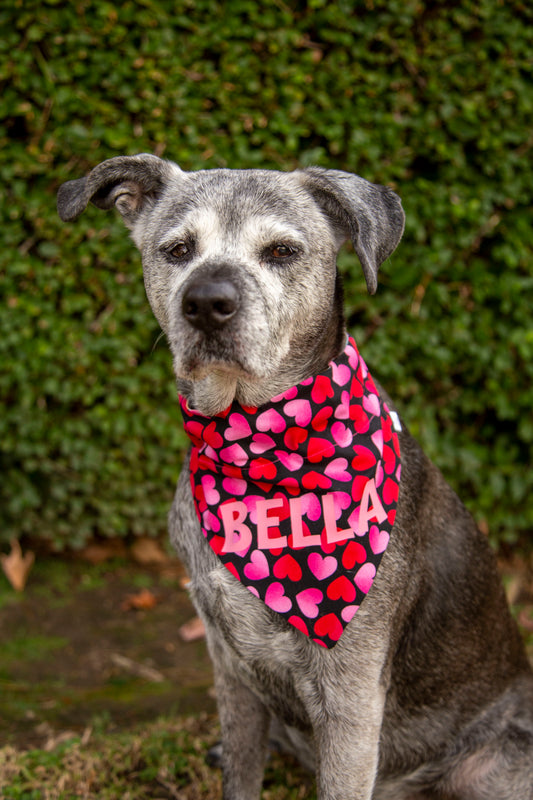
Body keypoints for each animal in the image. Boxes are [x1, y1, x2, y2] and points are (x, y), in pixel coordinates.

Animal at [57, 153, 532, 796]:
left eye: (282, 251)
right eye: (178, 250)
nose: (206, 302)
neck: (258, 449)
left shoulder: (351, 698)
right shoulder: (231, 671)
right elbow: (240, 773)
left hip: (489, 767)